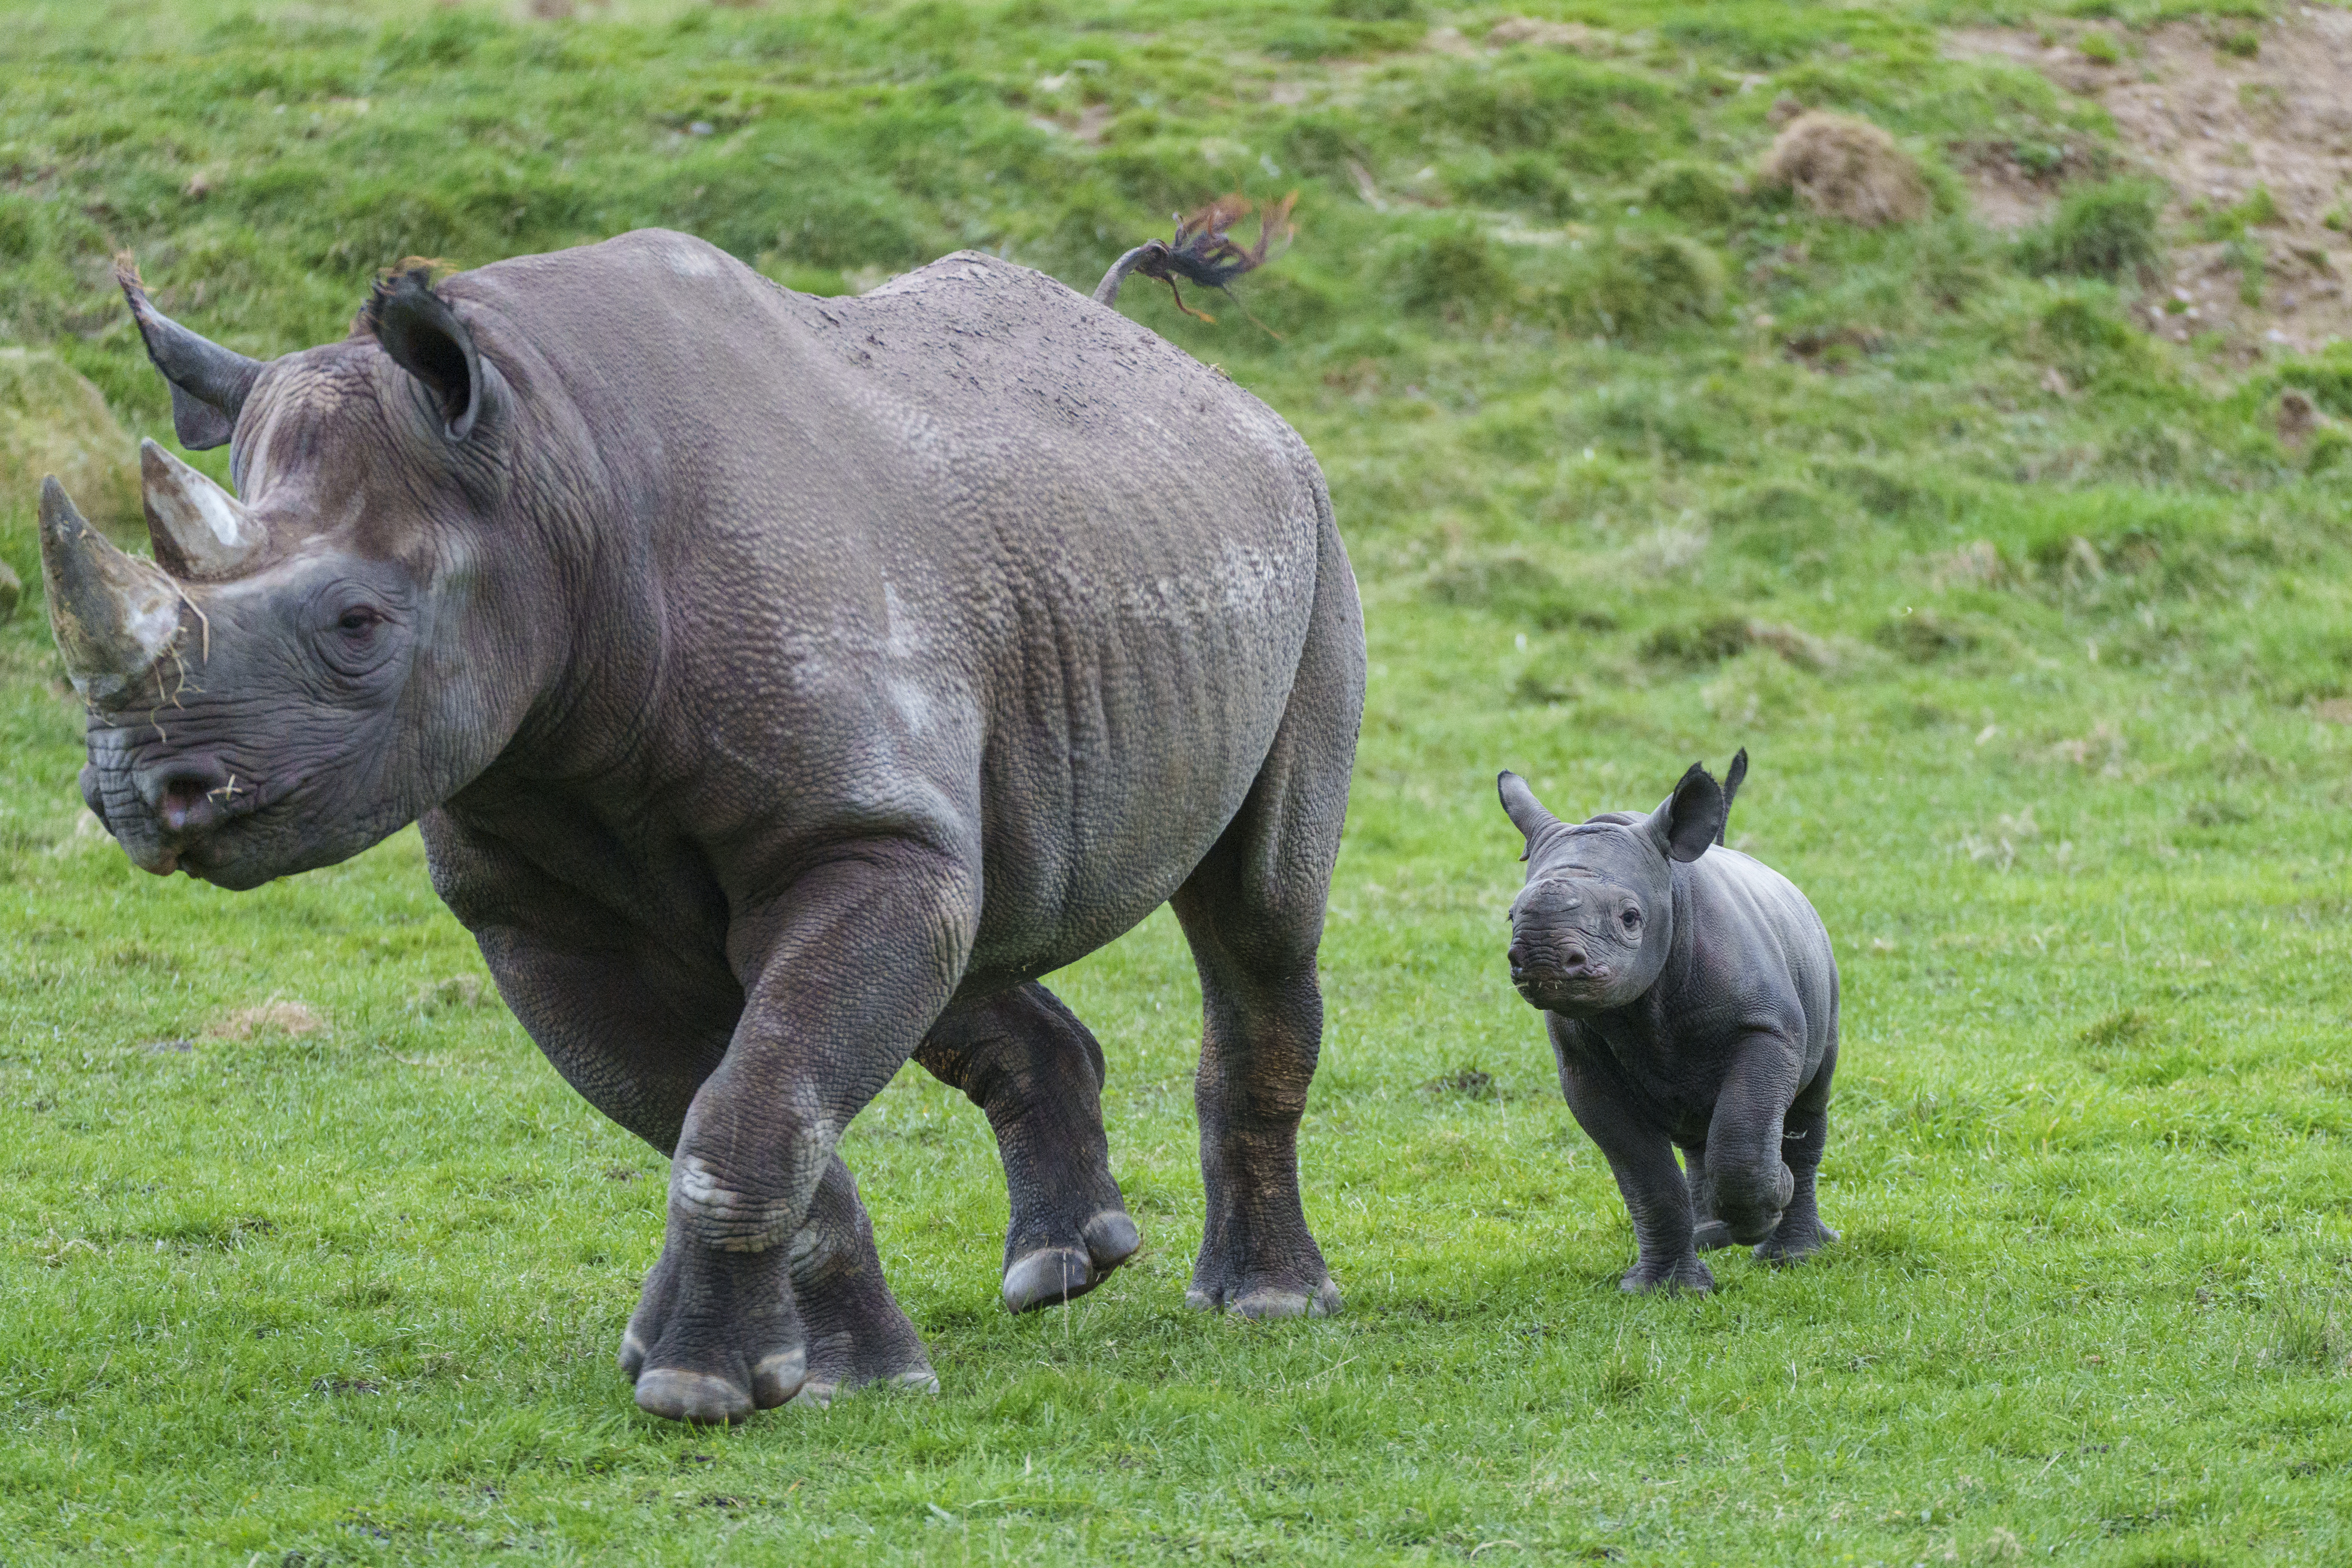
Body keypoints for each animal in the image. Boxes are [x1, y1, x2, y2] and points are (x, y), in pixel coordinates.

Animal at [32, 230, 1364, 1420]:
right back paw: (1062, 1267)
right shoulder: (535, 909)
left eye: (358, 625)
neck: (550, 479)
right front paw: (822, 1374)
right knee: (972, 910)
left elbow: (748, 1106)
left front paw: (698, 1385)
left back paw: (1263, 1301)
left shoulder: (848, 827)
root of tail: (1202, 380)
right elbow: (727, 1103)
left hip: (1306, 532)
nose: (136, 792)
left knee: (1255, 917)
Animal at [1496, 752, 1844, 1298]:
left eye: (1630, 918)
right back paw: (1712, 1235)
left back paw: (1791, 1252)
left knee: (1804, 1105)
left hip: (1819, 970)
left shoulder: (1766, 1029)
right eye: (1511, 915)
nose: (1542, 959)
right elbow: (1645, 1176)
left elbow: (1746, 1135)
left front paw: (1770, 1202)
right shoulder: (1581, 1067)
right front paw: (1666, 1290)